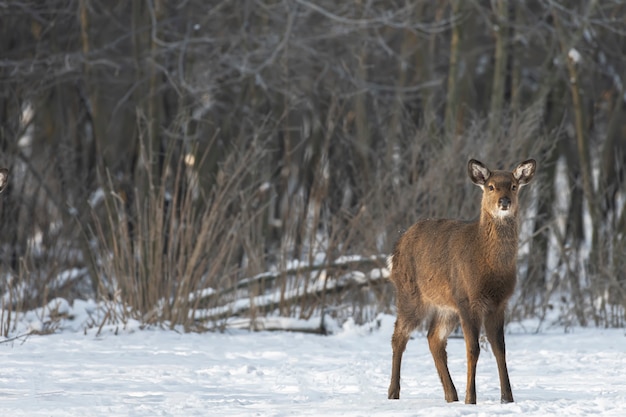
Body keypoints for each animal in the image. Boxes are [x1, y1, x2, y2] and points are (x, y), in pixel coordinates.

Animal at [388, 158, 532, 404]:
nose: (504, 201)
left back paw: (451, 395)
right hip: (411, 293)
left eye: (513, 186)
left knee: (433, 338)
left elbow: (500, 348)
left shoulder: (499, 303)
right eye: (491, 186)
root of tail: (396, 248)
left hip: (446, 305)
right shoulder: (467, 299)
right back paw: (393, 392)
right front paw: (471, 398)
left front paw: (507, 398)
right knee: (399, 334)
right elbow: (473, 349)